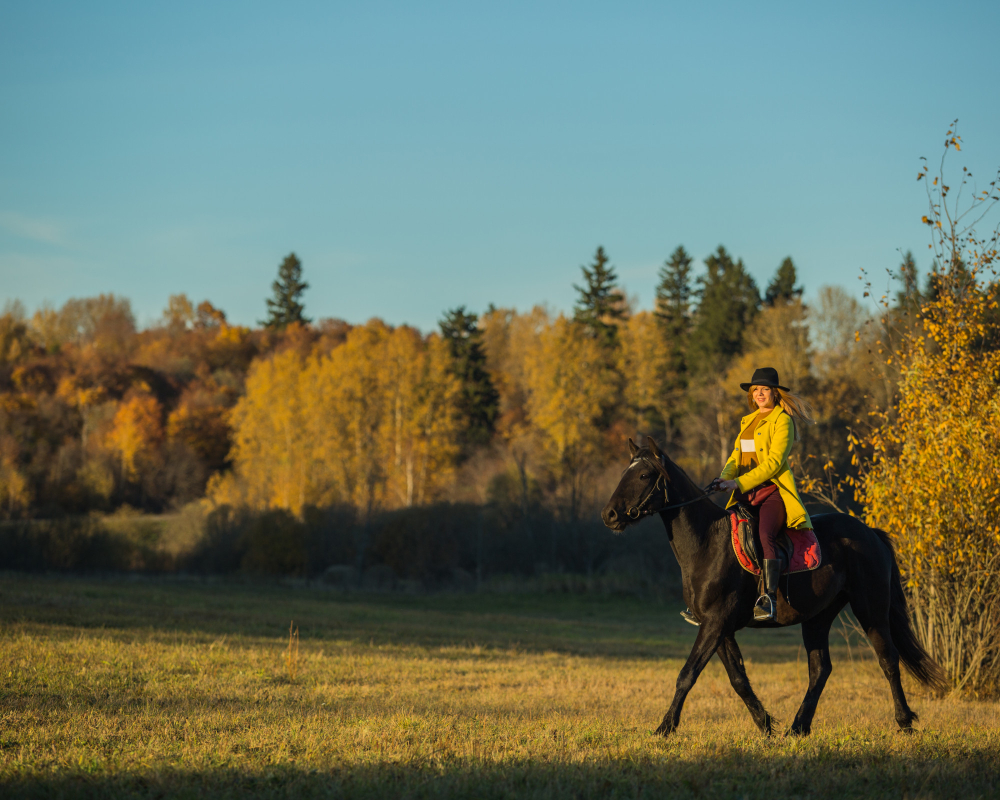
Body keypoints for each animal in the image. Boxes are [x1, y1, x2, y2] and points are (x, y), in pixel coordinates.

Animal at [600, 438, 944, 736]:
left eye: (644, 474)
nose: (609, 515)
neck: (708, 543)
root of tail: (871, 533)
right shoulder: (718, 627)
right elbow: (738, 679)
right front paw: (765, 724)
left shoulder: (715, 623)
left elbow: (687, 674)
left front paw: (664, 728)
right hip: (818, 617)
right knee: (820, 669)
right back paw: (798, 727)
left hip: (871, 609)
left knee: (888, 660)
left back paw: (904, 722)